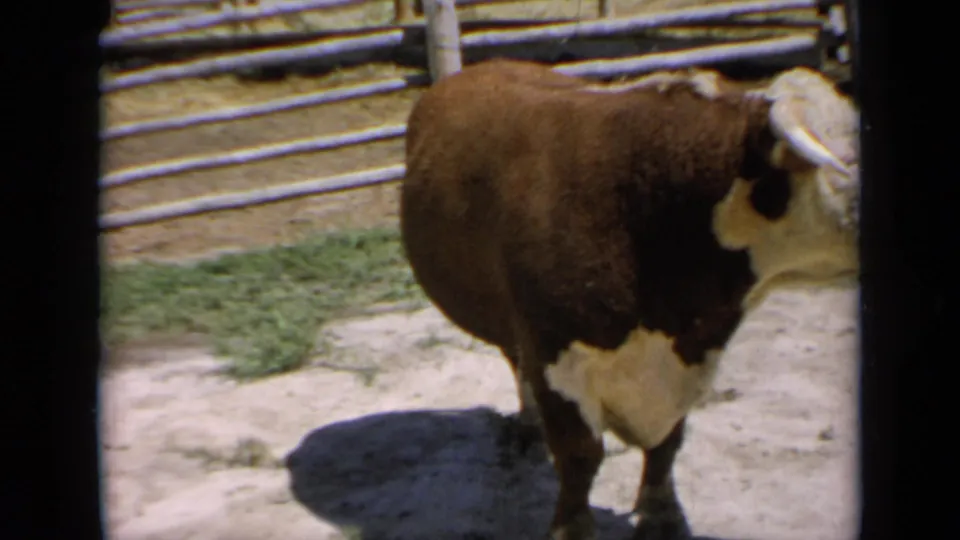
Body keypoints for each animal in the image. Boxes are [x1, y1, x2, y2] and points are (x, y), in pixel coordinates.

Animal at [399, 59, 859, 540]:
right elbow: (580, 456)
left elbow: (667, 444)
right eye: (843, 161)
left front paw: (662, 514)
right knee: (515, 361)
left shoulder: (686, 359)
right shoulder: (555, 354)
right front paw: (572, 528)